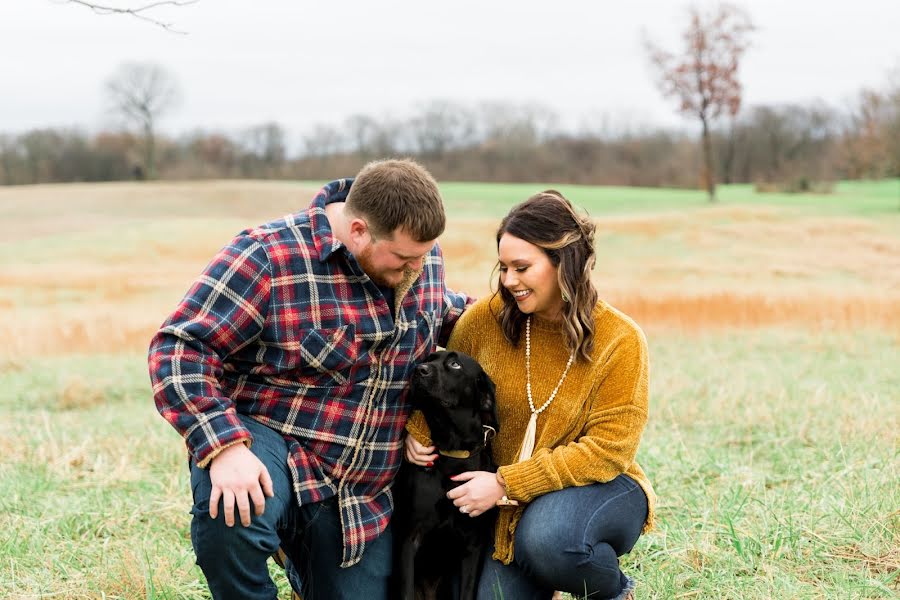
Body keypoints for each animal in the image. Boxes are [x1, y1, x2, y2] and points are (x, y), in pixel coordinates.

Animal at [394, 352, 500, 600]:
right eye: (429, 358)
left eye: (455, 364)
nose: (418, 369)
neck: (452, 455)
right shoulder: (410, 537)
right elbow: (406, 591)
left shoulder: (473, 545)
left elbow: (467, 592)